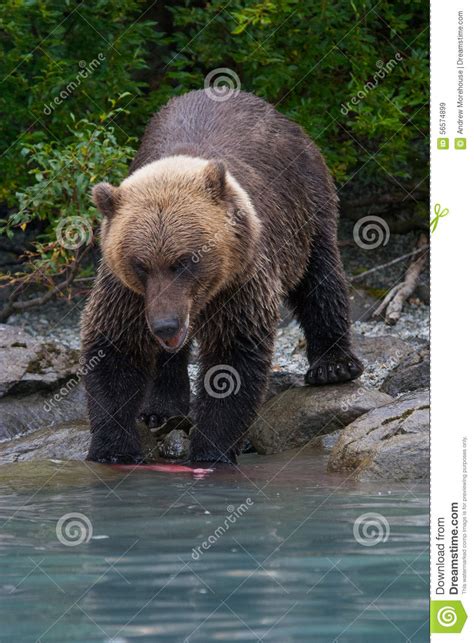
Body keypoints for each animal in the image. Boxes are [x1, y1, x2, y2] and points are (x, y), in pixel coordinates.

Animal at [81, 89, 362, 462]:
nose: (165, 325)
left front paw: (211, 450)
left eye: (185, 261)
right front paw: (113, 449)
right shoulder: (127, 290)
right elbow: (114, 347)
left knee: (320, 278)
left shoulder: (241, 276)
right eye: (140, 264)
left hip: (306, 204)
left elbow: (233, 354)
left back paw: (334, 365)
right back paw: (161, 408)